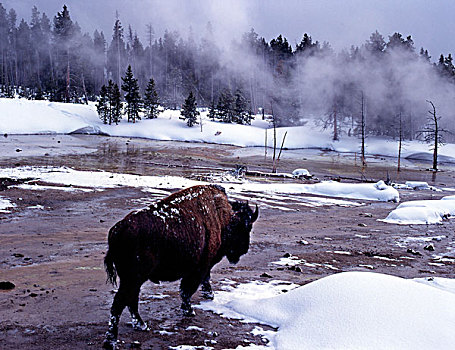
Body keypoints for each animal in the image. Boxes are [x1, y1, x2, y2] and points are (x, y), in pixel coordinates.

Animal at [104, 185, 260, 348]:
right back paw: (111, 341)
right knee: (120, 303)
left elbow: (199, 283)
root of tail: (118, 229)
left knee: (131, 300)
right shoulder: (199, 268)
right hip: (133, 279)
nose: (244, 249)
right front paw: (190, 310)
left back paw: (141, 325)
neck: (224, 218)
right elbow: (188, 290)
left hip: (132, 280)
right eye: (246, 227)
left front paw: (206, 296)